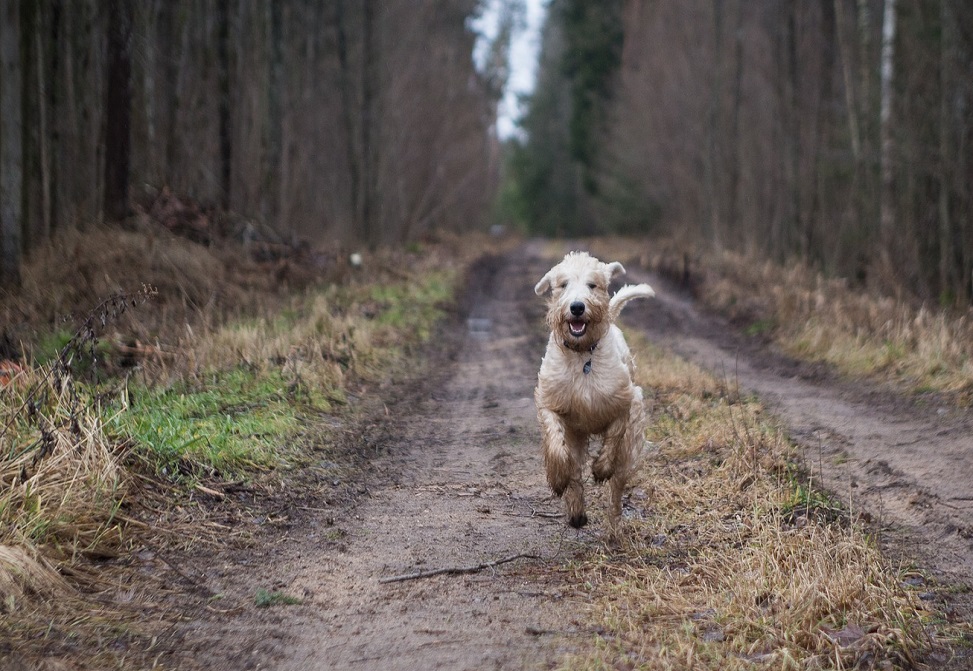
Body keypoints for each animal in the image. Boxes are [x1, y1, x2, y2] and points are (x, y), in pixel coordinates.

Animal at [532, 252, 652, 532]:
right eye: (563, 284)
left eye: (592, 285)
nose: (577, 307)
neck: (582, 355)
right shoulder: (551, 402)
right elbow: (557, 445)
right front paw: (558, 478)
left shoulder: (626, 401)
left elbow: (615, 434)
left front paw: (601, 468)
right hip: (576, 434)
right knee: (575, 470)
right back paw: (576, 512)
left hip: (629, 449)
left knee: (617, 489)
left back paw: (614, 530)